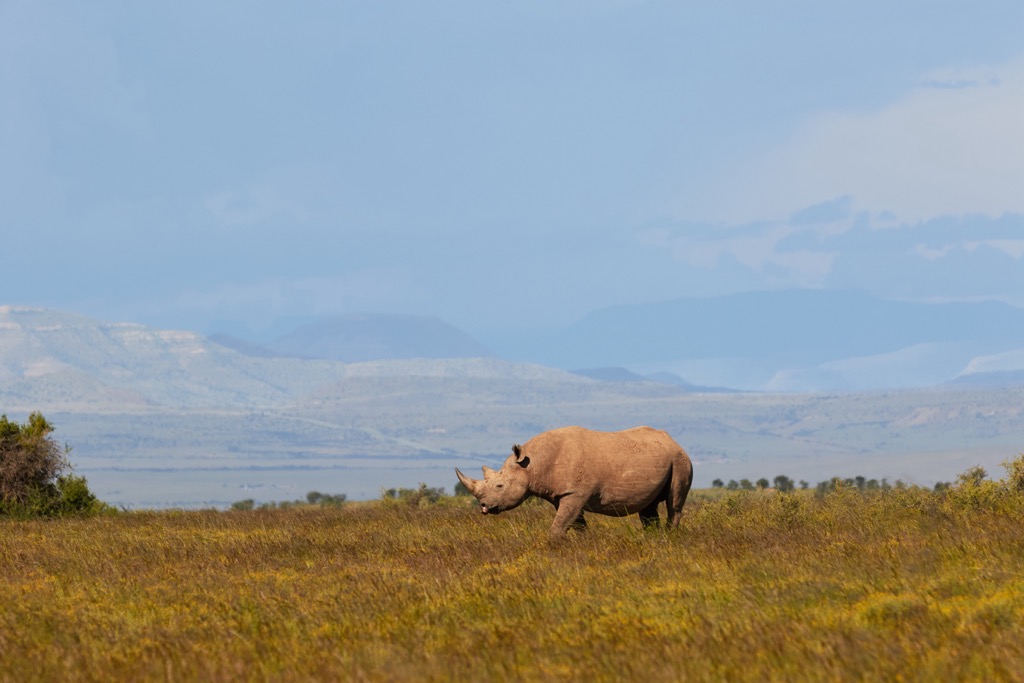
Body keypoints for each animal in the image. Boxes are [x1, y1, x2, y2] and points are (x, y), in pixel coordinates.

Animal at [458, 423, 692, 536]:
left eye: (499, 485)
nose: (483, 506)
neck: (532, 464)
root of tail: (674, 441)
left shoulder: (575, 492)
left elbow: (560, 524)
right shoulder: (562, 494)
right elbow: (575, 523)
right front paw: (584, 545)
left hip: (680, 460)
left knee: (674, 503)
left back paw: (670, 537)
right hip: (661, 457)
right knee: (648, 507)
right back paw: (652, 539)